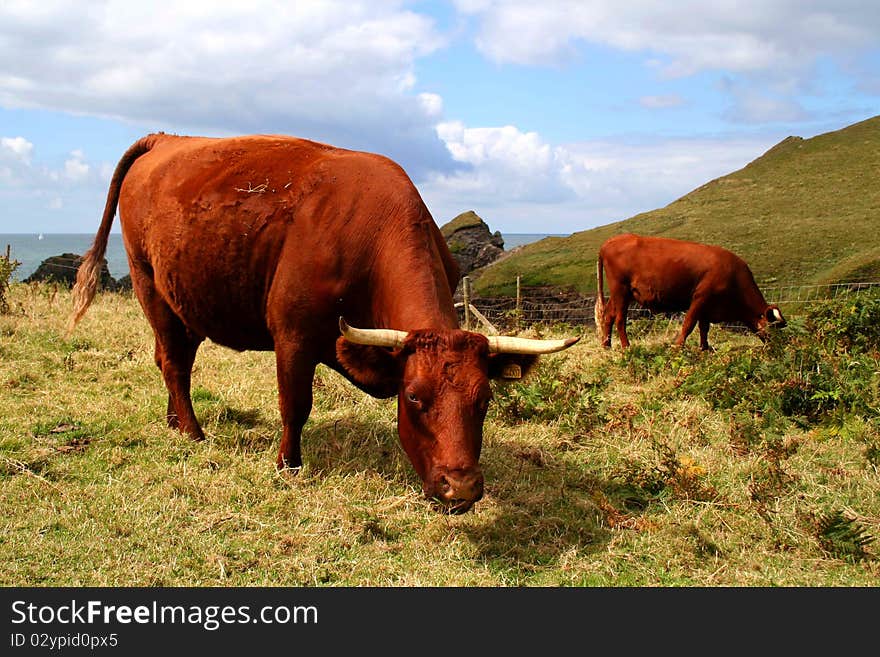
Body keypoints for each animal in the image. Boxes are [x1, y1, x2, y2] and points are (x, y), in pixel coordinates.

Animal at [67, 132, 576, 512]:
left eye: (485, 399)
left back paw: (174, 422)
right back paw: (193, 433)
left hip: (185, 300)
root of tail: (165, 139)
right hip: (148, 285)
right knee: (174, 363)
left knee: (172, 360)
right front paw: (287, 466)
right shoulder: (292, 337)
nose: (462, 488)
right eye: (414, 397)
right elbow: (296, 405)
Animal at [596, 233, 788, 352]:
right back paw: (626, 346)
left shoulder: (708, 306)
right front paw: (678, 346)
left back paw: (607, 345)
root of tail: (608, 243)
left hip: (621, 293)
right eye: (774, 328)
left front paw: (704, 348)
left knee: (608, 315)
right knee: (620, 319)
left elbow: (704, 328)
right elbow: (689, 324)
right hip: (620, 290)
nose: (782, 345)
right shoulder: (701, 297)